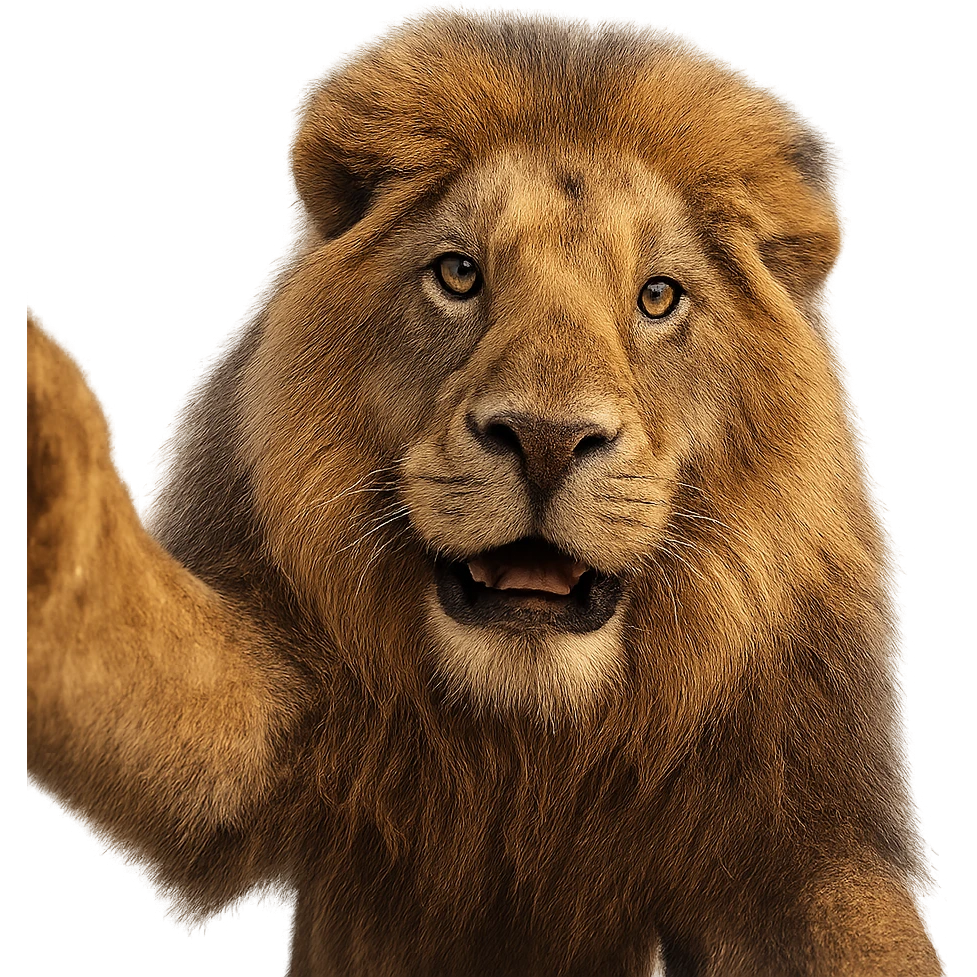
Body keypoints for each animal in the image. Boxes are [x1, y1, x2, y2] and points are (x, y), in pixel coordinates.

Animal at [25, 6, 943, 976]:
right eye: (458, 274)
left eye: (658, 297)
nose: (544, 439)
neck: (525, 744)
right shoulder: (274, 718)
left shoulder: (795, 829)